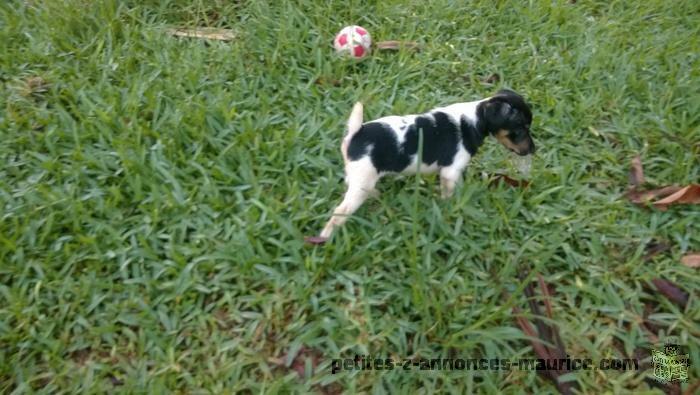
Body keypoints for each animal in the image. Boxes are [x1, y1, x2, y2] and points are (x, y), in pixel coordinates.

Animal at [318, 89, 536, 238]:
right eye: (520, 129)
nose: (533, 150)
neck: (476, 117)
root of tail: (355, 135)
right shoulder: (451, 171)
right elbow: (449, 194)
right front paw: (450, 208)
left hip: (359, 177)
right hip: (360, 183)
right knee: (339, 213)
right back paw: (326, 237)